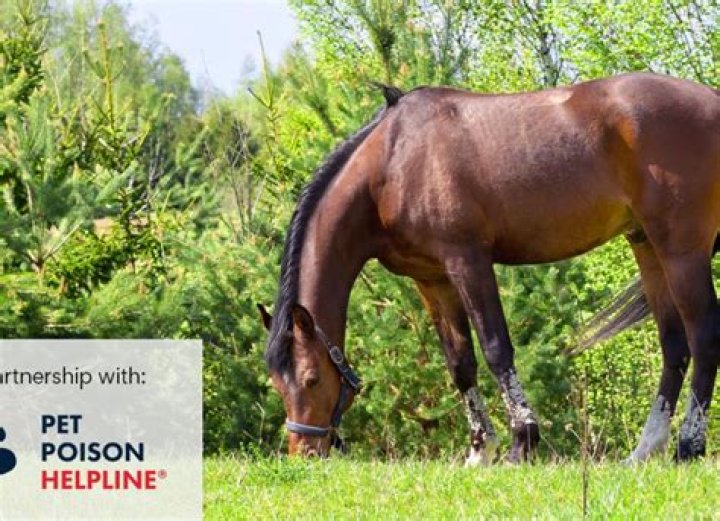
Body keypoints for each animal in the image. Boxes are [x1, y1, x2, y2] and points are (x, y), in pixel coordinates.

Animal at [259, 72, 720, 464]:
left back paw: (688, 447)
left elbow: (497, 348)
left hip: (681, 251)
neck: (392, 163)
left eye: (311, 379)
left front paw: (521, 442)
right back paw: (643, 452)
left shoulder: (468, 262)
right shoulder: (432, 279)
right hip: (646, 245)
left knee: (703, 338)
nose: (304, 454)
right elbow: (460, 362)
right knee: (674, 347)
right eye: (278, 384)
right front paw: (479, 451)